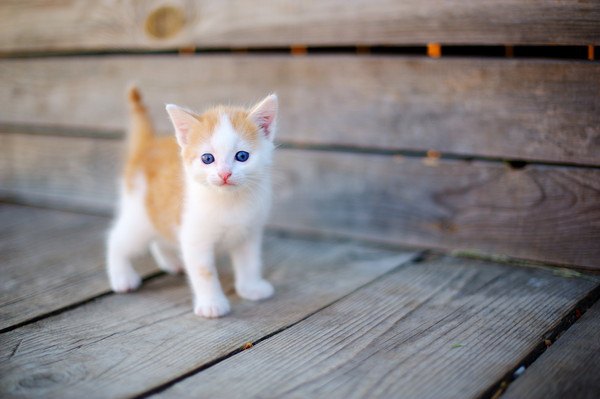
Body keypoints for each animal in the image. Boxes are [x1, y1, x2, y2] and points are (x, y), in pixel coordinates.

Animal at [108, 86, 276, 318]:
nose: (224, 174)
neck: (229, 201)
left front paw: (251, 288)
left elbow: (250, 262)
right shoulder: (195, 238)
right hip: (139, 215)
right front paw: (212, 304)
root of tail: (149, 144)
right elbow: (204, 272)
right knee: (116, 239)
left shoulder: (249, 233)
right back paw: (122, 277)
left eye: (242, 156)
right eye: (207, 158)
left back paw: (171, 262)